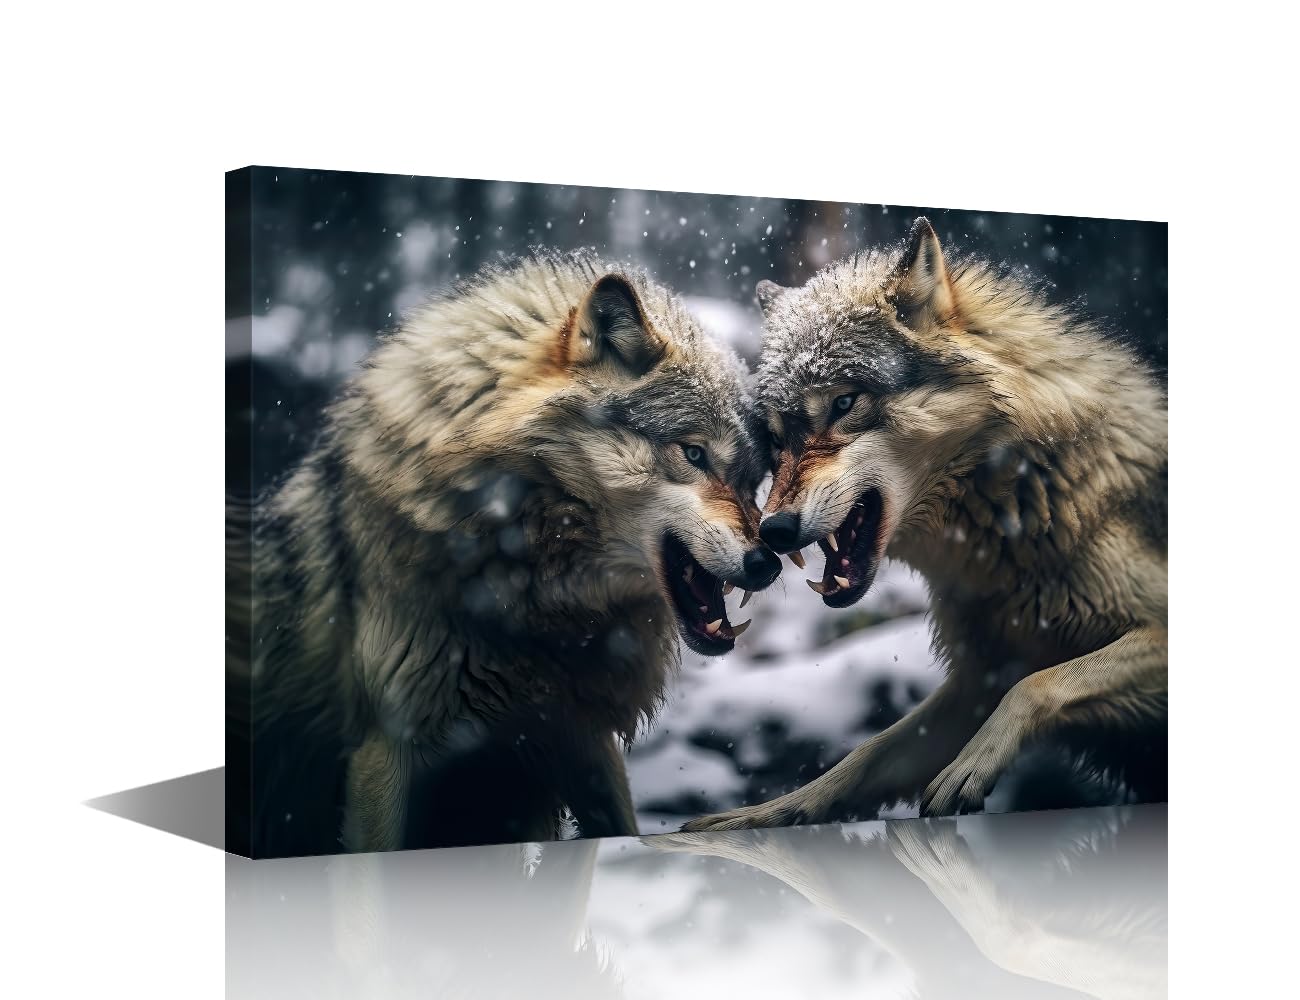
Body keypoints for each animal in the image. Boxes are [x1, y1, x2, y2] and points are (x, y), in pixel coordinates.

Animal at [684, 217, 1166, 831]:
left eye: (844, 403)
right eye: (773, 437)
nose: (774, 530)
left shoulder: (1156, 633)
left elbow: (1039, 683)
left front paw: (969, 771)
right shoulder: (977, 682)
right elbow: (863, 755)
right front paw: (760, 817)